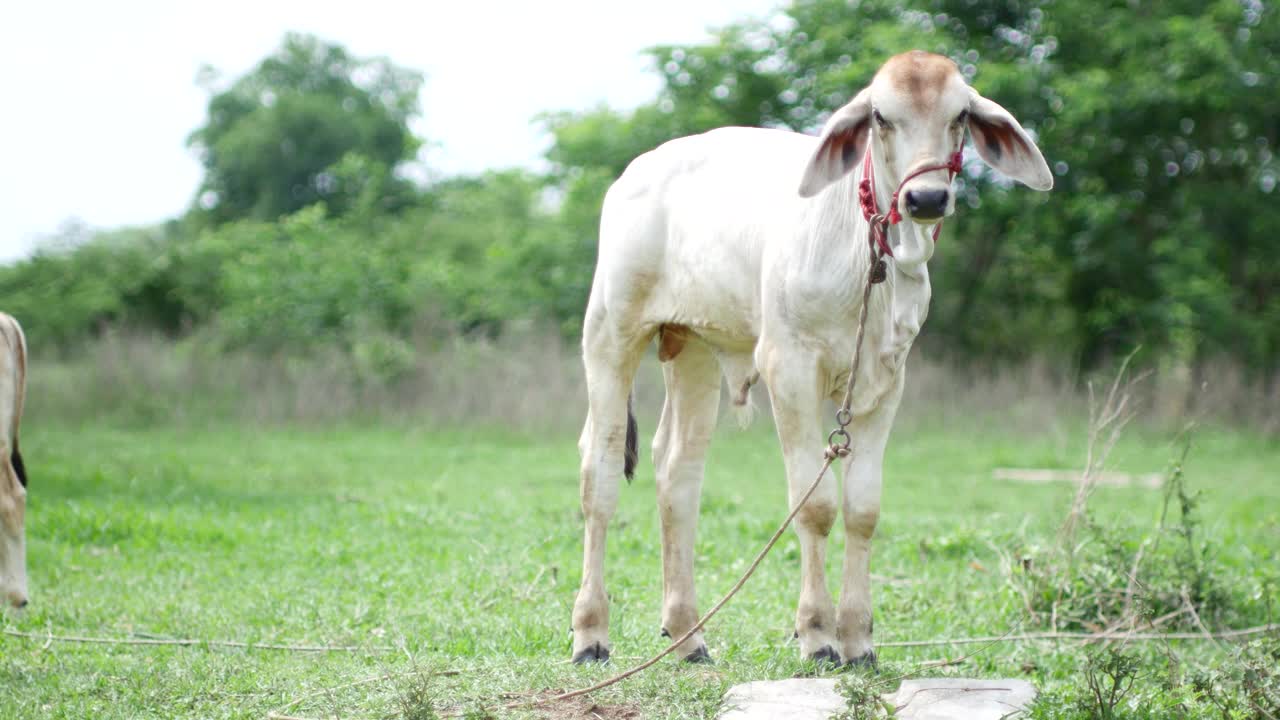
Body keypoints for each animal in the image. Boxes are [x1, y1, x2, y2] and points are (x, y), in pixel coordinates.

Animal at [570, 51, 1049, 666]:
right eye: (880, 116)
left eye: (960, 114)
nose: (926, 199)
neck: (869, 258)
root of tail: (634, 174)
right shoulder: (789, 368)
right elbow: (815, 505)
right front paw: (818, 634)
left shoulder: (888, 380)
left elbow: (863, 510)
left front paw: (860, 638)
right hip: (611, 335)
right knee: (599, 472)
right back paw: (591, 633)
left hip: (695, 349)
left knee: (678, 473)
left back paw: (687, 635)